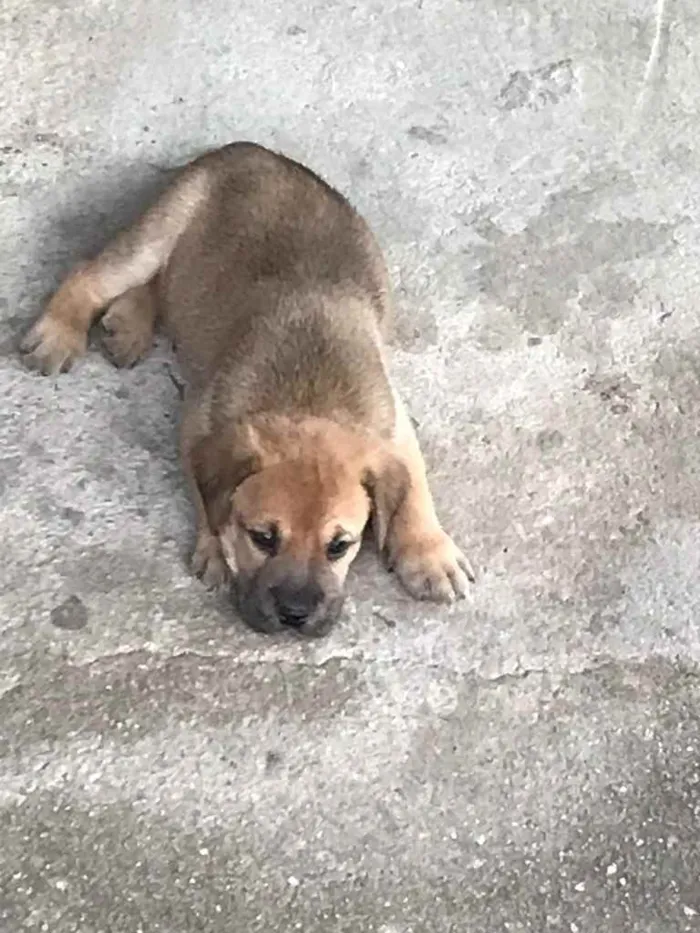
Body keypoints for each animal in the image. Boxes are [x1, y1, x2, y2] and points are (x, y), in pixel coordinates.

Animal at [19, 142, 474, 636]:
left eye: (340, 546)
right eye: (263, 538)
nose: (295, 615)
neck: (306, 398)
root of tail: (249, 149)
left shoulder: (393, 422)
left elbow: (414, 484)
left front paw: (428, 552)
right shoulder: (198, 424)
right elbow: (207, 500)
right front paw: (216, 548)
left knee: (165, 282)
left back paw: (129, 323)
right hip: (157, 231)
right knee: (92, 274)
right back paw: (59, 333)